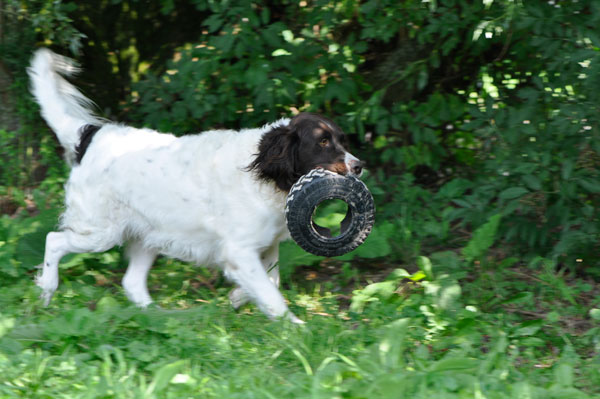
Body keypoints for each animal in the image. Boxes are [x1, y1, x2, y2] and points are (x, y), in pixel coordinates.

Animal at [27, 48, 360, 324]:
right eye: (322, 142)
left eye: (341, 139)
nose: (358, 166)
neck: (263, 175)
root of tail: (92, 137)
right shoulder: (240, 250)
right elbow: (272, 295)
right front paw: (296, 329)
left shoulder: (266, 247)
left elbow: (271, 283)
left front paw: (237, 297)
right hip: (99, 232)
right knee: (54, 241)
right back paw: (47, 290)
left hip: (149, 235)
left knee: (131, 282)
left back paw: (160, 318)